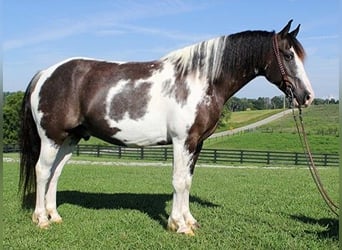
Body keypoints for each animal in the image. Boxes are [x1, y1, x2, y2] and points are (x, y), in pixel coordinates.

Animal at [18, 20, 312, 235]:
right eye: (288, 55)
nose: (307, 96)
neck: (200, 79)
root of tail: (45, 74)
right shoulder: (183, 141)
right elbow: (179, 181)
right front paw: (179, 226)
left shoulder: (197, 143)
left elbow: (188, 180)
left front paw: (188, 221)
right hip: (51, 138)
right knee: (42, 171)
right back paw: (40, 219)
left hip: (69, 140)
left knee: (55, 173)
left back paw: (54, 216)